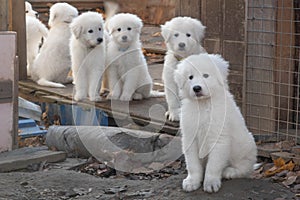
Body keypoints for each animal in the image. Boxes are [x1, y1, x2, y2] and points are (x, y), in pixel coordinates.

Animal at [175, 54, 256, 193]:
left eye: (206, 75)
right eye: (190, 77)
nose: (196, 88)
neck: (204, 105)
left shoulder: (219, 138)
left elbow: (213, 165)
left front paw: (211, 183)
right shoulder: (190, 137)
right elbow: (192, 164)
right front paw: (192, 181)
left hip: (245, 145)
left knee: (245, 167)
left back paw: (230, 171)